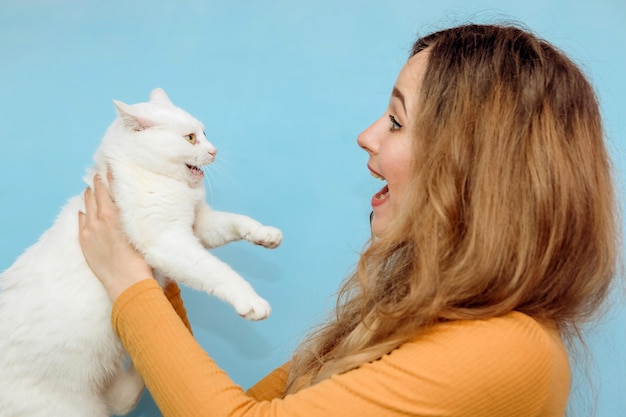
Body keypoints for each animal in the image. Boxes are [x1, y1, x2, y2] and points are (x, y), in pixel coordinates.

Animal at [0, 88, 280, 416]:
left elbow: (236, 222)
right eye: (190, 138)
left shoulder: (200, 226)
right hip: (71, 408)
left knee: (119, 400)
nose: (214, 151)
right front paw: (251, 301)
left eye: (205, 133)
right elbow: (217, 271)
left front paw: (265, 234)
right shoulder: (168, 240)